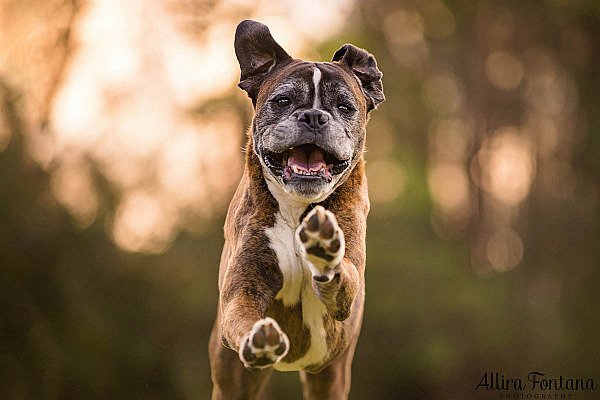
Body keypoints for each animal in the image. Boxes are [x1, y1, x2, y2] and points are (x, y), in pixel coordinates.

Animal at [207, 19, 384, 400]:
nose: (314, 116)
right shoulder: (244, 287)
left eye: (344, 107)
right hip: (230, 380)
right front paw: (259, 338)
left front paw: (324, 250)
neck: (296, 208)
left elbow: (343, 273)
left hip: (331, 378)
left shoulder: (347, 289)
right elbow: (241, 314)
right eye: (283, 100)